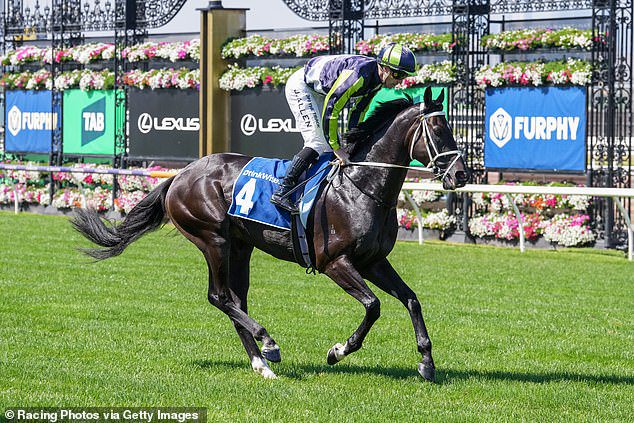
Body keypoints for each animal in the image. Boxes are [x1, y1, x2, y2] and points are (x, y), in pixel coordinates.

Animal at [73, 85, 470, 380]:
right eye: (439, 131)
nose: (461, 174)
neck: (360, 187)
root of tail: (180, 175)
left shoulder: (372, 261)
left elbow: (412, 299)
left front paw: (426, 362)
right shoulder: (334, 262)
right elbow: (373, 306)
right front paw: (338, 350)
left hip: (240, 247)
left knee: (236, 300)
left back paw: (261, 363)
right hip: (212, 239)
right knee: (220, 297)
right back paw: (268, 342)